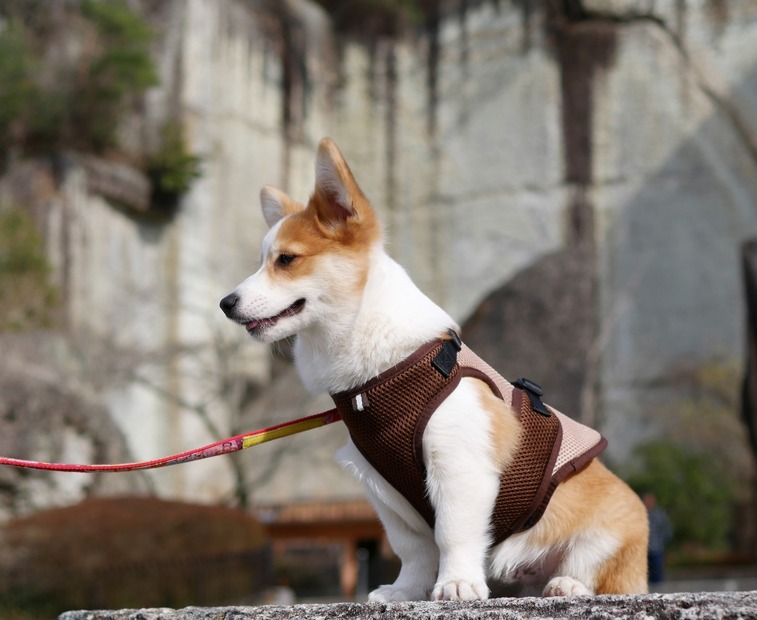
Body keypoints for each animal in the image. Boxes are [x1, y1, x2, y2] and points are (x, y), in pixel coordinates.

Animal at [220, 138, 648, 600]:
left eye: (286, 259)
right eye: (262, 261)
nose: (225, 304)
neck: (379, 375)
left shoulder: (457, 468)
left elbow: (451, 534)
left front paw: (457, 583)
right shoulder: (383, 488)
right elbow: (413, 548)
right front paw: (405, 591)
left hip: (609, 532)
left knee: (595, 570)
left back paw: (568, 585)